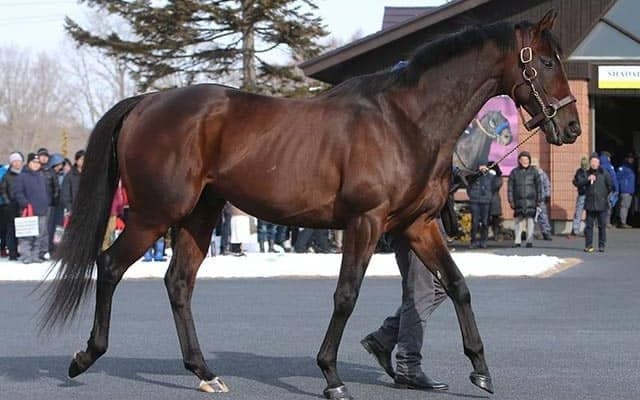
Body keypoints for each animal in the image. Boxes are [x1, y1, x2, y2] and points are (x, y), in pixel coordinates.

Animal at [41, 10, 580, 400]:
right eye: (546, 62)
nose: (572, 127)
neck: (404, 121)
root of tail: (147, 103)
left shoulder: (418, 225)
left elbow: (457, 286)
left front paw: (481, 372)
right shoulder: (364, 223)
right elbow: (346, 296)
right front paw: (332, 377)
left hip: (199, 214)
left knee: (178, 283)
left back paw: (204, 371)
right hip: (156, 213)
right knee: (110, 265)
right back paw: (85, 357)